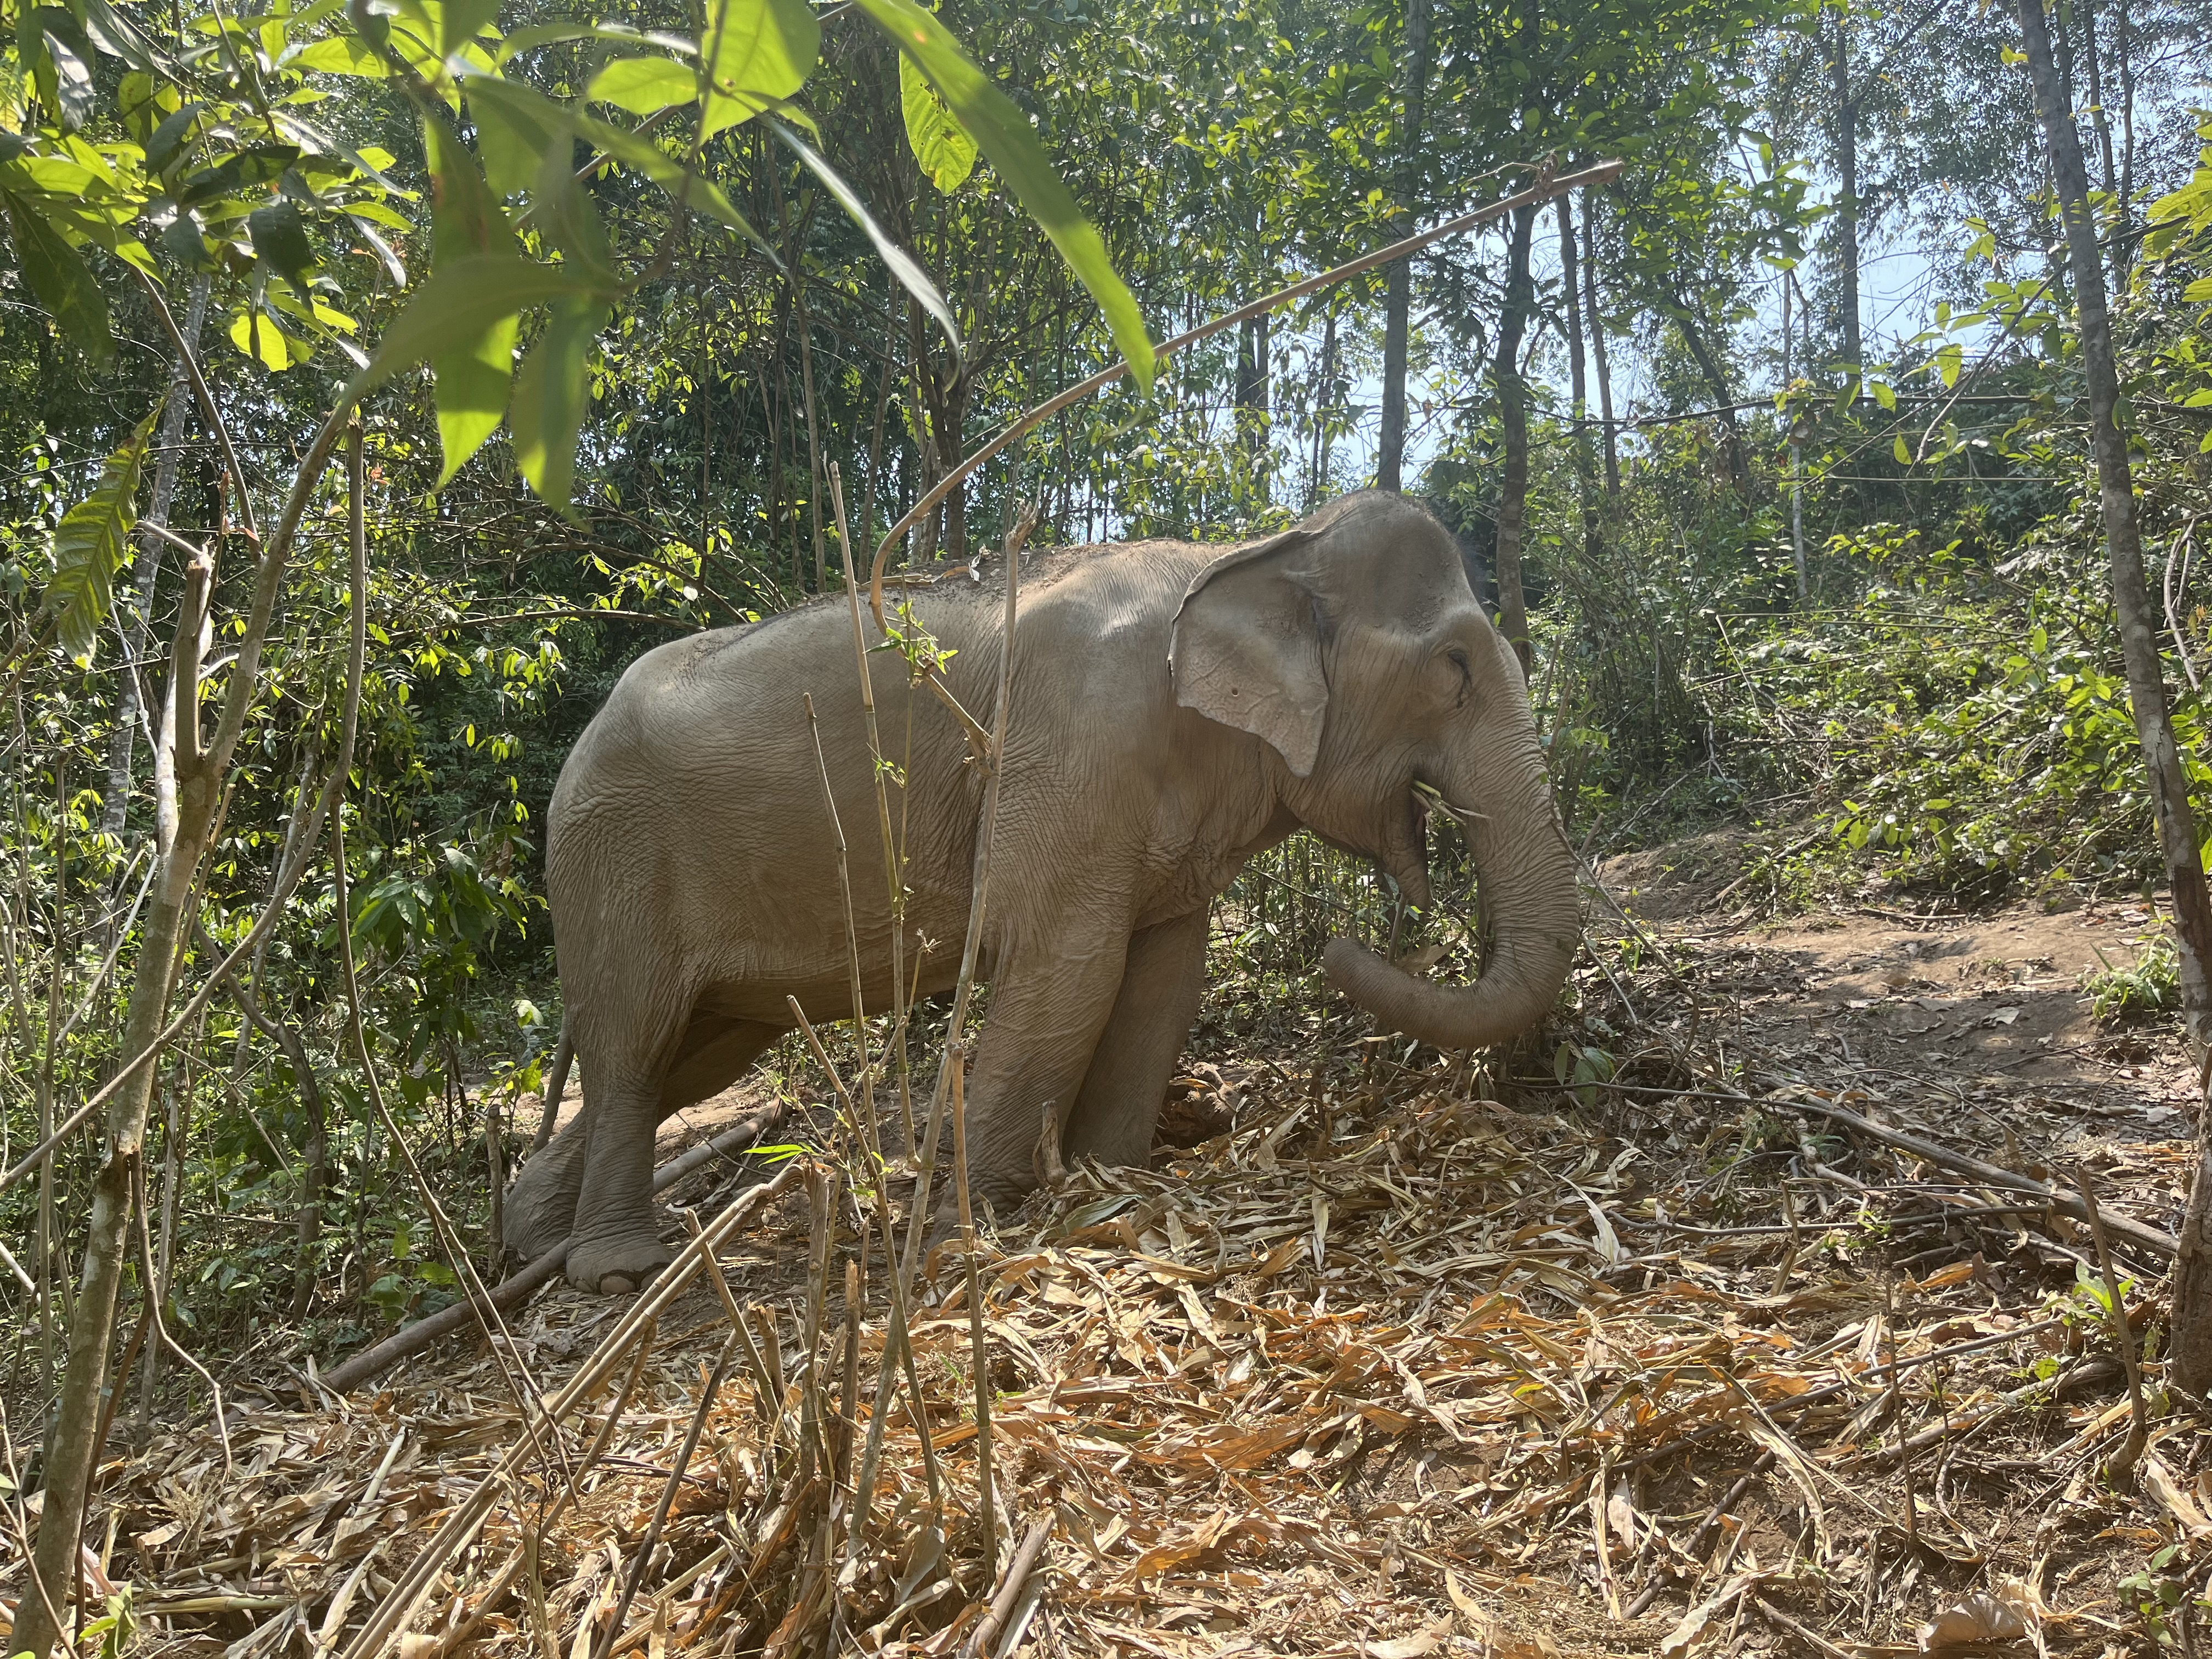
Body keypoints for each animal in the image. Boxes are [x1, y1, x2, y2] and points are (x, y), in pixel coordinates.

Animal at [507, 490, 1581, 1292]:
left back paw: (530, 1240)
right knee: (634, 1042)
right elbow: (1068, 969)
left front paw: (1112, 1175)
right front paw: (963, 1228)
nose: (1345, 947)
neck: (1249, 549)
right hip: (610, 860)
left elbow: (1161, 981)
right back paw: (614, 1272)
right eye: (1454, 667)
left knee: (686, 1056)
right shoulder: (1070, 745)